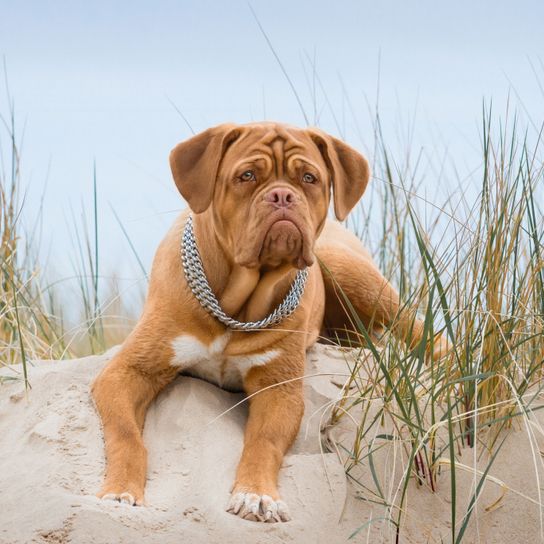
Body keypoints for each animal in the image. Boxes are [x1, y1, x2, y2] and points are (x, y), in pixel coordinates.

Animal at [90, 122, 446, 524]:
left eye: (309, 177)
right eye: (247, 176)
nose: (282, 196)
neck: (236, 308)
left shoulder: (278, 389)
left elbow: (264, 441)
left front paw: (256, 494)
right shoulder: (128, 372)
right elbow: (126, 433)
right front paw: (121, 490)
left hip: (350, 272)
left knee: (423, 334)